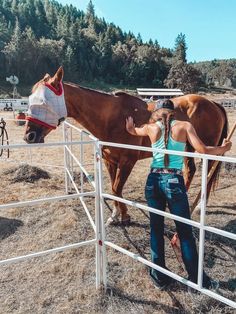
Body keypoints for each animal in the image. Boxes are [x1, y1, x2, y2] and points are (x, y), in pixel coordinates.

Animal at [23, 67, 228, 223]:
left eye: (43, 102)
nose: (29, 136)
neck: (114, 118)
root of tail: (213, 103)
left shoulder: (127, 162)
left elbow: (117, 188)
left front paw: (124, 215)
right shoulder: (110, 161)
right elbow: (115, 189)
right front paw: (117, 216)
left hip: (205, 150)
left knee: (208, 175)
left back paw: (198, 207)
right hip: (188, 148)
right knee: (190, 170)